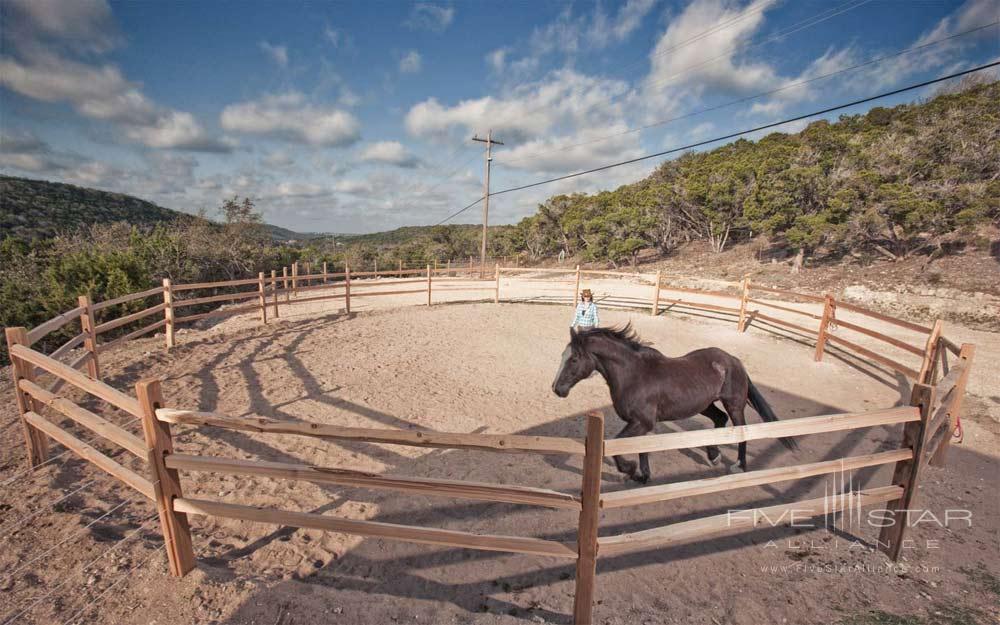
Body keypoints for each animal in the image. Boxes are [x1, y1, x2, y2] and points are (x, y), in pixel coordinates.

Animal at [552, 324, 792, 480]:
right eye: (562, 356)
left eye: (574, 359)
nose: (557, 389)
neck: (634, 375)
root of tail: (733, 360)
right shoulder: (641, 424)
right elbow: (641, 449)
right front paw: (642, 475)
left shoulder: (642, 422)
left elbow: (618, 446)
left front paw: (630, 469)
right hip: (705, 405)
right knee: (720, 419)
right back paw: (713, 456)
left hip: (734, 405)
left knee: (741, 431)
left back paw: (739, 466)